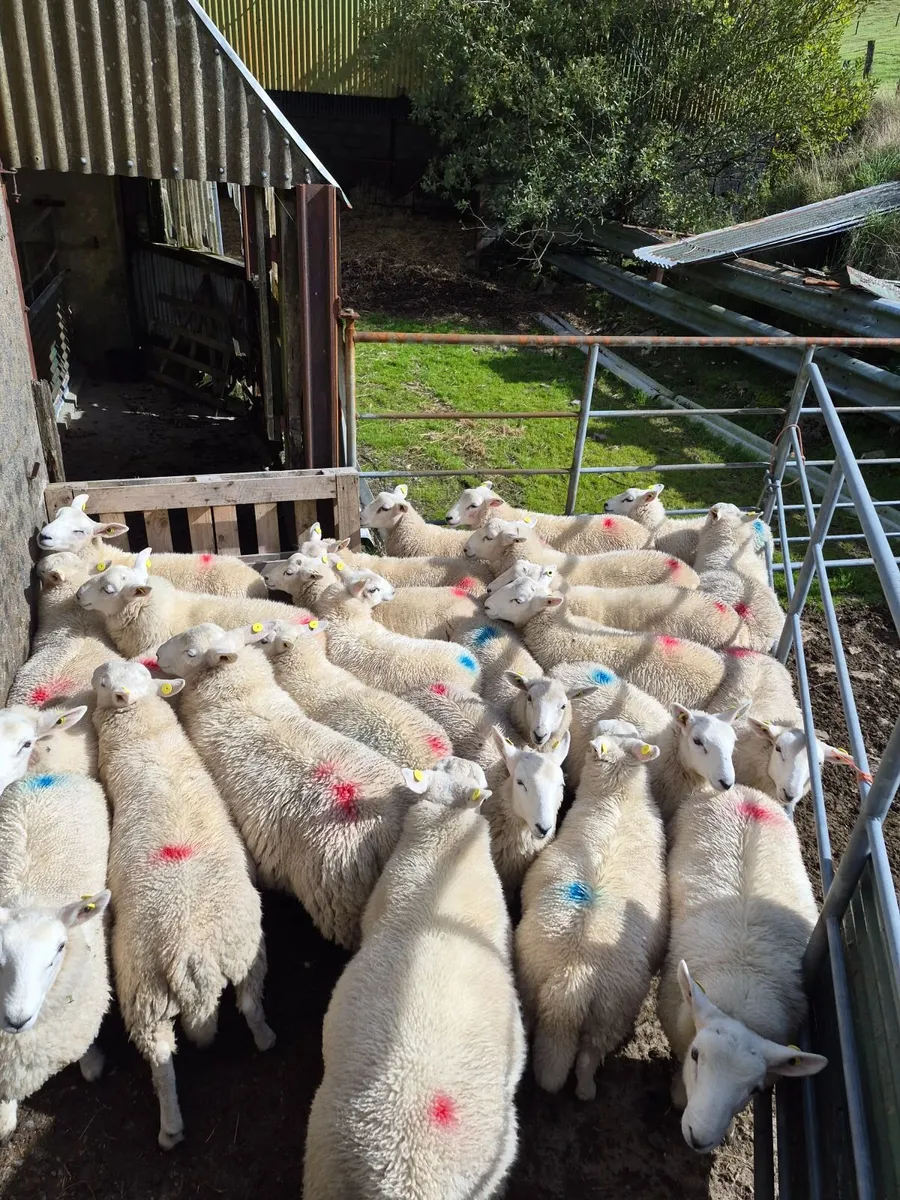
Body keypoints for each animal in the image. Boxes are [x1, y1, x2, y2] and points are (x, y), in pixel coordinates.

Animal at [91, 660, 274, 1148]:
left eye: (101, 683)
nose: (102, 678)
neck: (146, 732)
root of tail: (194, 955)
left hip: (144, 994)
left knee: (160, 1061)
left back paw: (170, 1128)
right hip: (246, 950)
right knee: (250, 1004)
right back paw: (266, 1039)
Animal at [515, 723, 667, 1099]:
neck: (617, 797)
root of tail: (573, 978)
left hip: (589, 1005)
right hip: (607, 1013)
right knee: (586, 1057)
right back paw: (585, 1090)